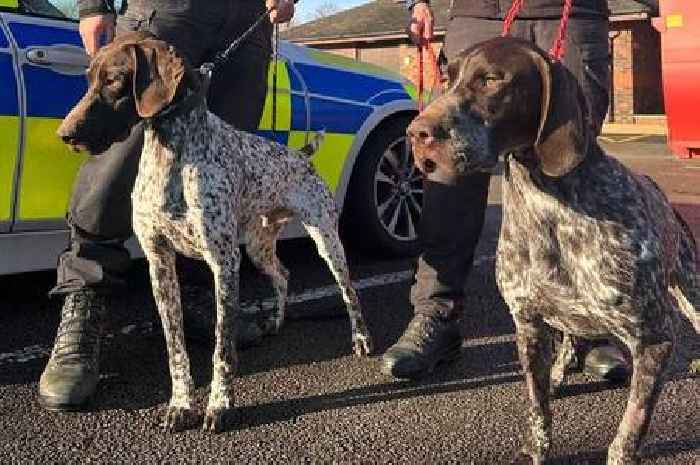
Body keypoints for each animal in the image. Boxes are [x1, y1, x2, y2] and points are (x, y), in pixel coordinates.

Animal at [57, 31, 374, 432]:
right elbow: (176, 350)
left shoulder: (223, 263)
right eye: (88, 78)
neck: (172, 154)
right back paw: (276, 321)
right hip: (258, 247)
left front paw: (220, 405)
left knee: (350, 292)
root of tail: (301, 156)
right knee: (283, 275)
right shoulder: (159, 263)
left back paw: (361, 338)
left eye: (113, 79)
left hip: (325, 239)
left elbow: (222, 348)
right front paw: (180, 403)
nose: (65, 134)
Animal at [408, 38, 696, 464]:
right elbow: (538, 407)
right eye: (447, 78)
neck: (547, 208)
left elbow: (630, 427)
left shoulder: (653, 339)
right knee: (571, 342)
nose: (416, 133)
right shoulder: (528, 326)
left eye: (491, 79)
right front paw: (536, 447)